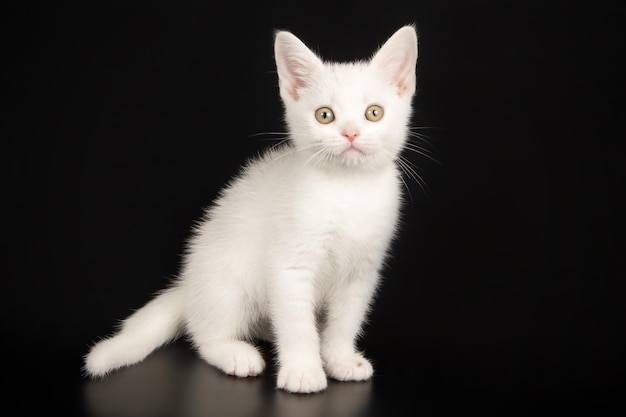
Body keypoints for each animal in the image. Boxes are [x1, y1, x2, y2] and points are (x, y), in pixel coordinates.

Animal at [83, 24, 414, 392]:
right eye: (325, 115)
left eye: (374, 112)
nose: (351, 134)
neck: (347, 189)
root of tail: (189, 287)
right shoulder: (289, 266)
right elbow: (296, 324)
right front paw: (303, 371)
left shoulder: (362, 272)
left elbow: (345, 321)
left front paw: (340, 359)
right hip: (227, 284)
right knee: (204, 333)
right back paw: (234, 353)